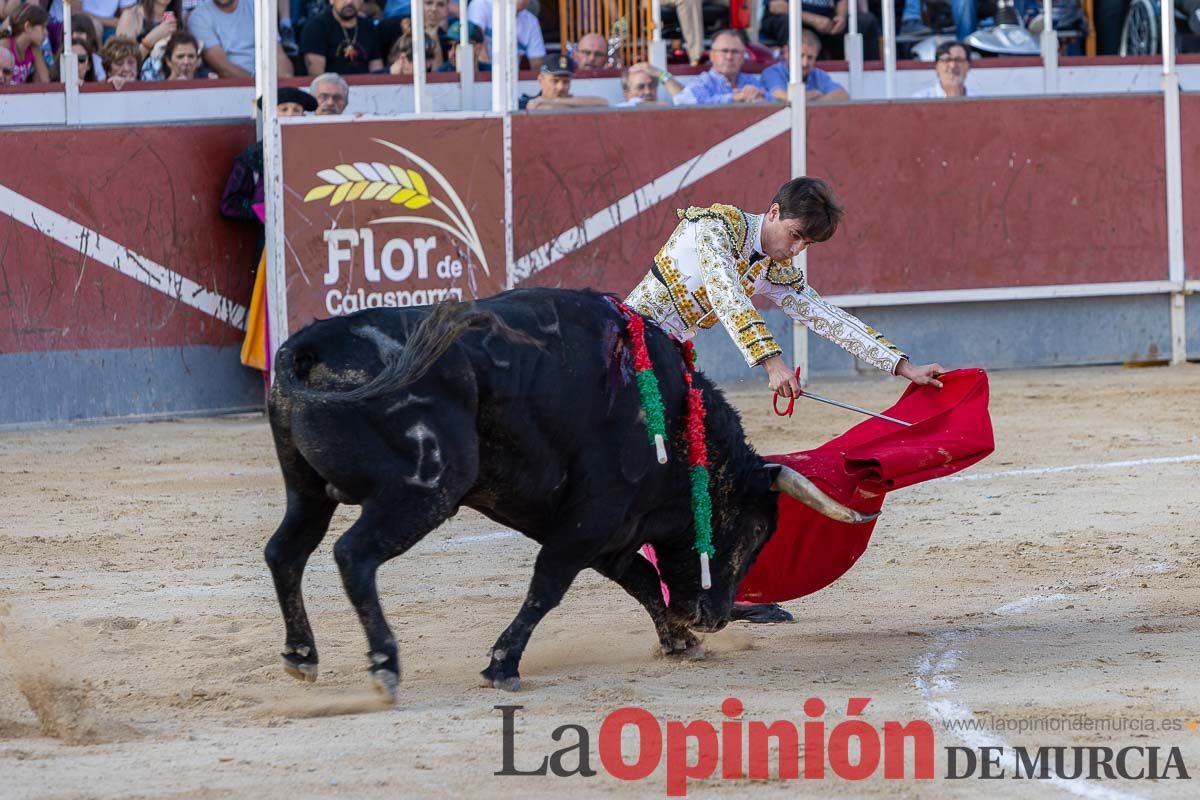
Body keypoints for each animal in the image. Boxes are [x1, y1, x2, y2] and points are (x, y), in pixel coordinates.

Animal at [265, 291, 873, 695]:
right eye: (753, 530)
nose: (715, 618)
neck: (675, 419)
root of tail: (310, 345)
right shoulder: (594, 519)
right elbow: (550, 584)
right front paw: (502, 664)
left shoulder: (613, 532)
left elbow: (642, 580)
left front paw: (679, 643)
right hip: (425, 490)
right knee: (353, 555)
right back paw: (385, 665)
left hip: (306, 492)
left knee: (285, 552)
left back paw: (302, 656)